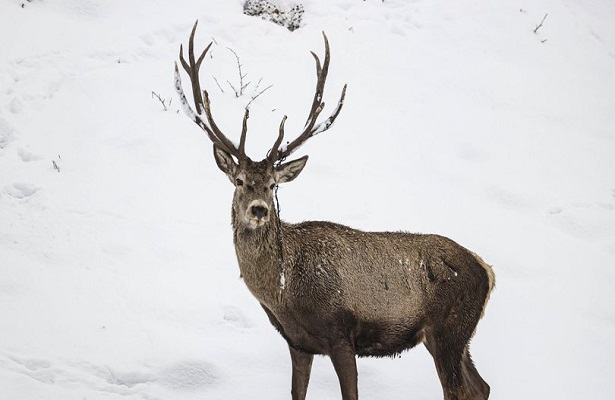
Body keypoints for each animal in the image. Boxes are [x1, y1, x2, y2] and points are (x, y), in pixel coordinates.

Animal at [172, 21, 496, 400]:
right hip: (454, 336)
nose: (259, 210)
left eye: (273, 184)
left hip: (449, 329)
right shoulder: (298, 343)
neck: (284, 293)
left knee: (459, 389)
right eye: (239, 181)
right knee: (480, 386)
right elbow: (297, 393)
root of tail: (487, 272)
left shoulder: (342, 334)